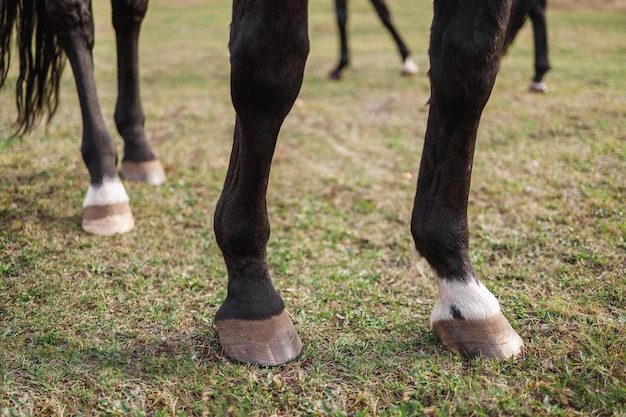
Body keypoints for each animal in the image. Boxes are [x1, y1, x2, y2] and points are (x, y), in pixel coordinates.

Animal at [1, 0, 520, 364]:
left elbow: (469, 66)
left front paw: (461, 286)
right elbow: (271, 64)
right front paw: (252, 290)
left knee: (129, 14)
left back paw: (138, 149)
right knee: (73, 20)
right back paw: (105, 180)